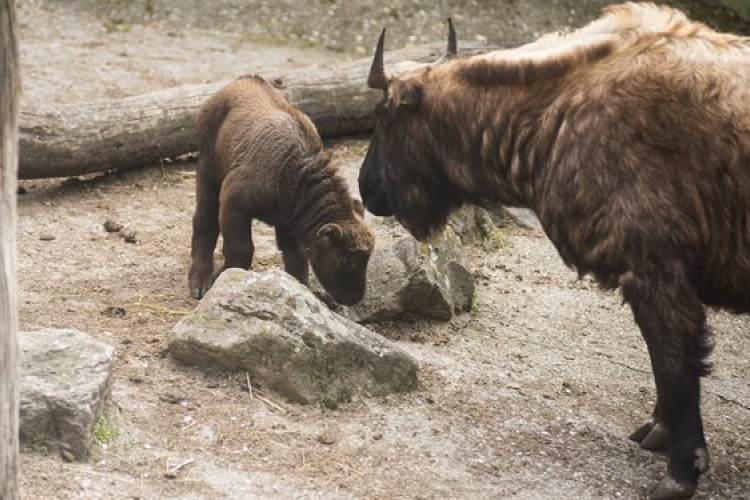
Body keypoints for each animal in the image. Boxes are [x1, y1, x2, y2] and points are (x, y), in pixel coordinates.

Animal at [189, 76, 374, 306]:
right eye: (344, 259)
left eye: (367, 260)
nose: (354, 298)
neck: (294, 172)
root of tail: (241, 80)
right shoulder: (234, 202)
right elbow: (242, 249)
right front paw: (222, 278)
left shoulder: (289, 223)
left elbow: (297, 261)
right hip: (207, 172)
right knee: (204, 220)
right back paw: (199, 282)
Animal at [360, 4, 750, 500]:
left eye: (383, 115)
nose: (364, 188)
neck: (559, 106)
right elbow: (662, 362)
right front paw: (662, 432)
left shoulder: (656, 272)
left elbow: (674, 362)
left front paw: (681, 470)